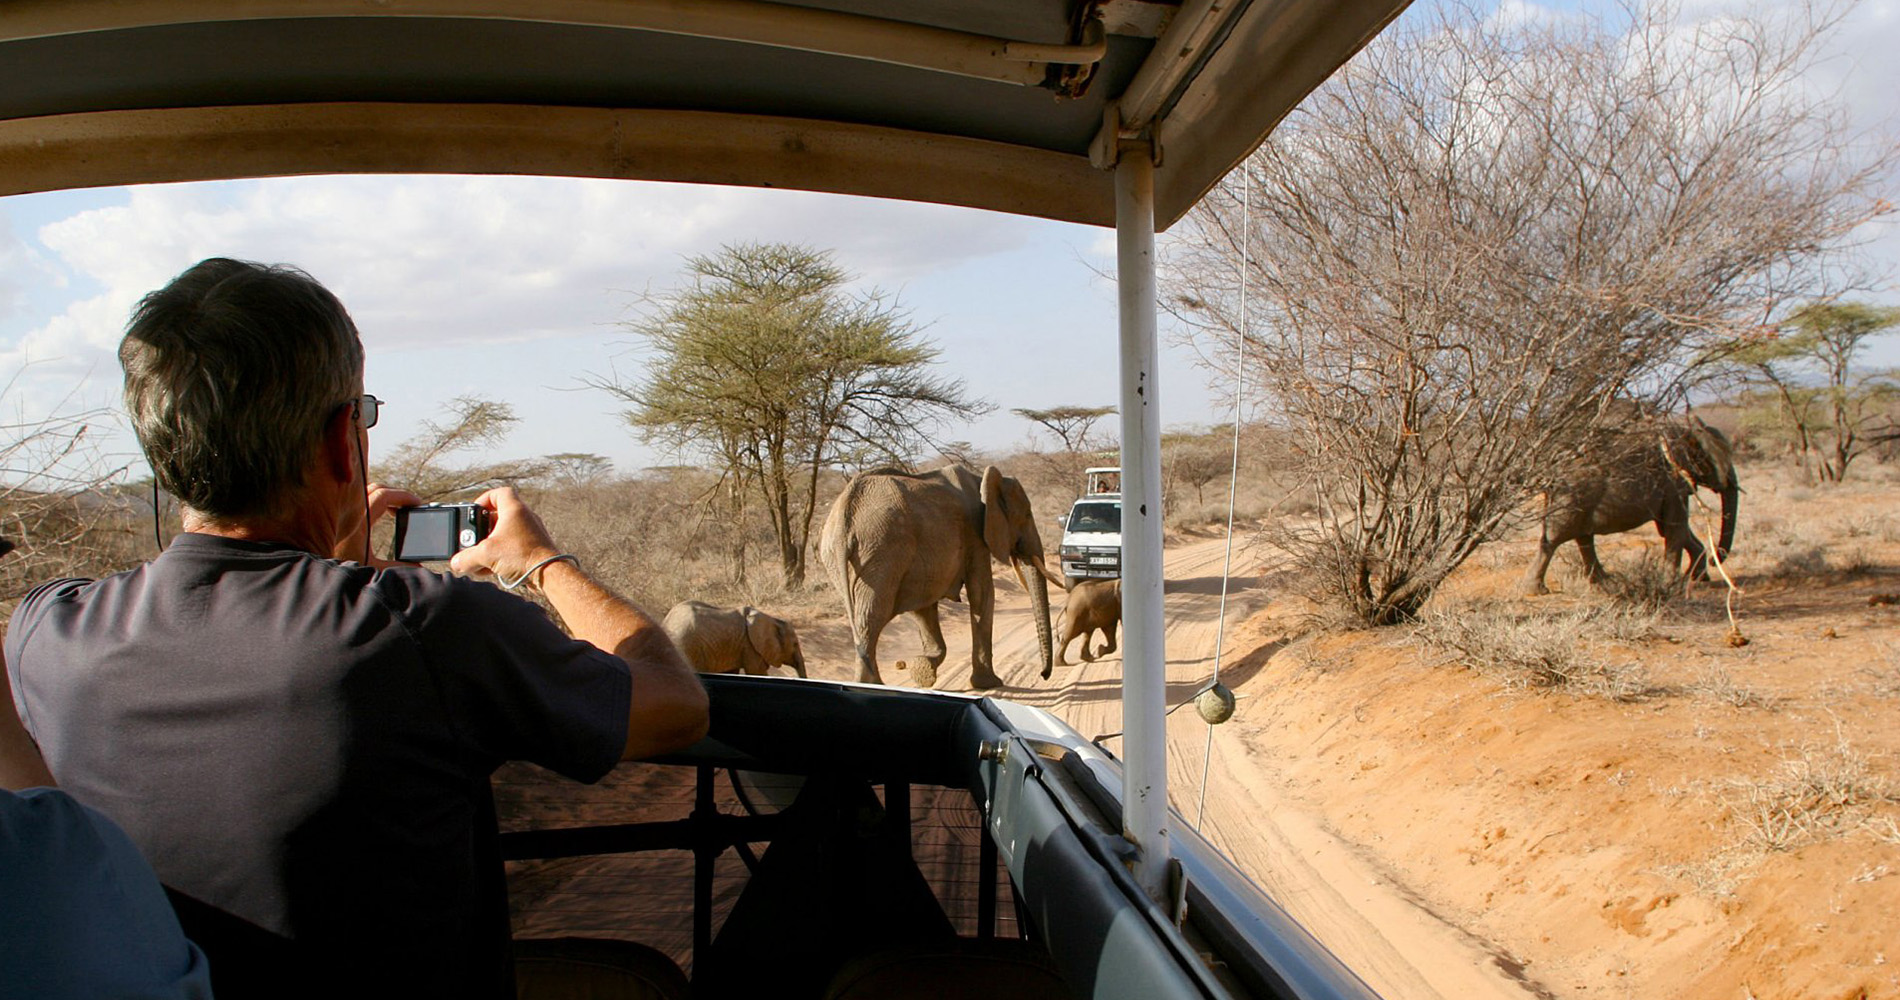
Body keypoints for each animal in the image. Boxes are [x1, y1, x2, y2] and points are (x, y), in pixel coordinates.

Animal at [817, 467, 1064, 692]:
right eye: (1027, 515)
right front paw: (989, 684)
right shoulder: (974, 534)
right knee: (872, 614)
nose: (1044, 674)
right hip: (882, 547)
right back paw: (874, 685)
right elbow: (982, 592)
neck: (982, 480)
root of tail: (844, 516)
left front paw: (923, 670)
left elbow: (923, 607)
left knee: (863, 617)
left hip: (846, 555)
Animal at [1520, 416, 1740, 596]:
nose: (1714, 559)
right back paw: (1536, 591)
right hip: (1572, 494)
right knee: (1556, 537)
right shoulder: (1674, 479)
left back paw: (1606, 584)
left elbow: (1673, 529)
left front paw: (1700, 579)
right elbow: (1675, 528)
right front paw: (1673, 585)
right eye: (1715, 462)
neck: (1685, 430)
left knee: (1582, 536)